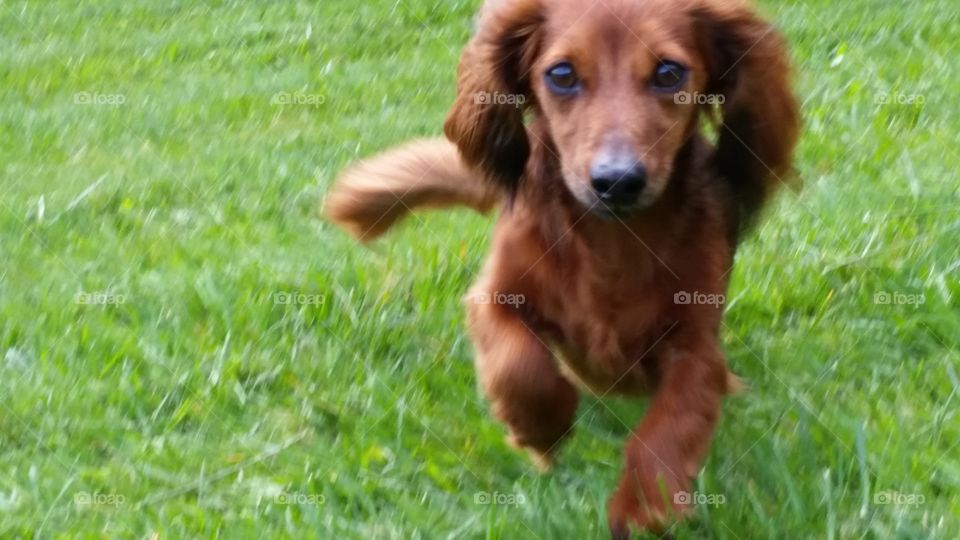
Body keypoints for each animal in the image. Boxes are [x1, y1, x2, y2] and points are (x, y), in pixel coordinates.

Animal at [326, 0, 800, 532]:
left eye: (668, 73)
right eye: (562, 75)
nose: (617, 181)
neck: (614, 240)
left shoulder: (696, 341)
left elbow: (674, 421)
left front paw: (644, 506)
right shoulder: (494, 296)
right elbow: (521, 367)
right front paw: (538, 431)